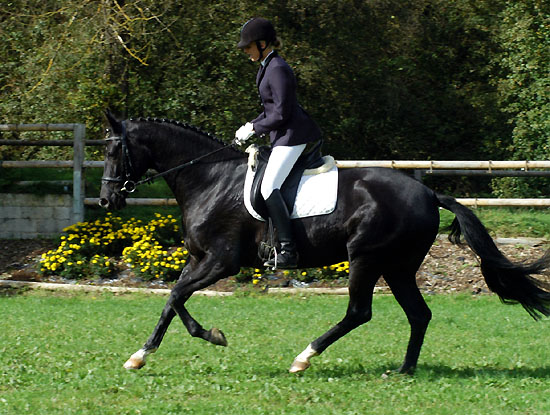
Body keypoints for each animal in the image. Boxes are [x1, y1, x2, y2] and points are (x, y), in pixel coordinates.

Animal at [99, 112, 550, 376]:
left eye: (115, 150)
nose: (106, 200)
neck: (209, 179)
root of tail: (427, 192)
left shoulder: (221, 262)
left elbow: (176, 296)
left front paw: (211, 335)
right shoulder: (199, 259)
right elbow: (172, 299)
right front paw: (141, 355)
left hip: (366, 259)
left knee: (359, 312)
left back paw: (304, 357)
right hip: (398, 266)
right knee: (418, 314)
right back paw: (404, 370)